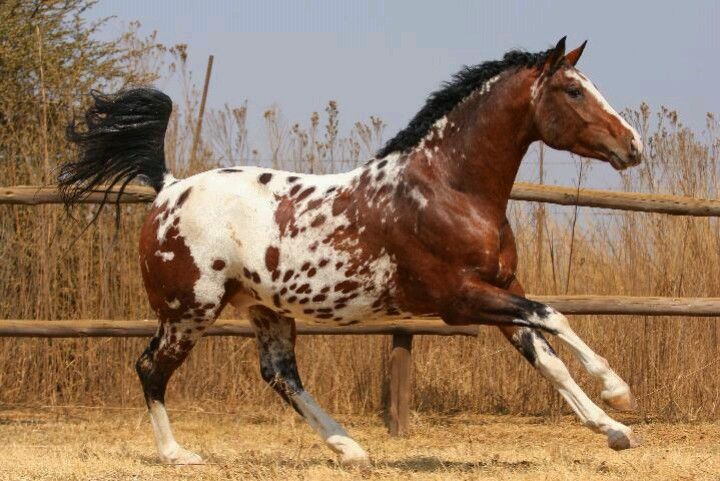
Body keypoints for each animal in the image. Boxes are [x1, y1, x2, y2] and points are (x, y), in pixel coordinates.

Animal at [62, 37, 644, 464]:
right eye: (573, 90)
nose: (633, 145)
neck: (448, 189)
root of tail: (168, 189)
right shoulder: (460, 299)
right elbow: (554, 318)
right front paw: (619, 392)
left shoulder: (502, 288)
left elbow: (548, 357)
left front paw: (614, 430)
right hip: (189, 311)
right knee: (150, 369)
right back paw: (177, 454)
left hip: (264, 310)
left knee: (281, 377)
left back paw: (350, 449)